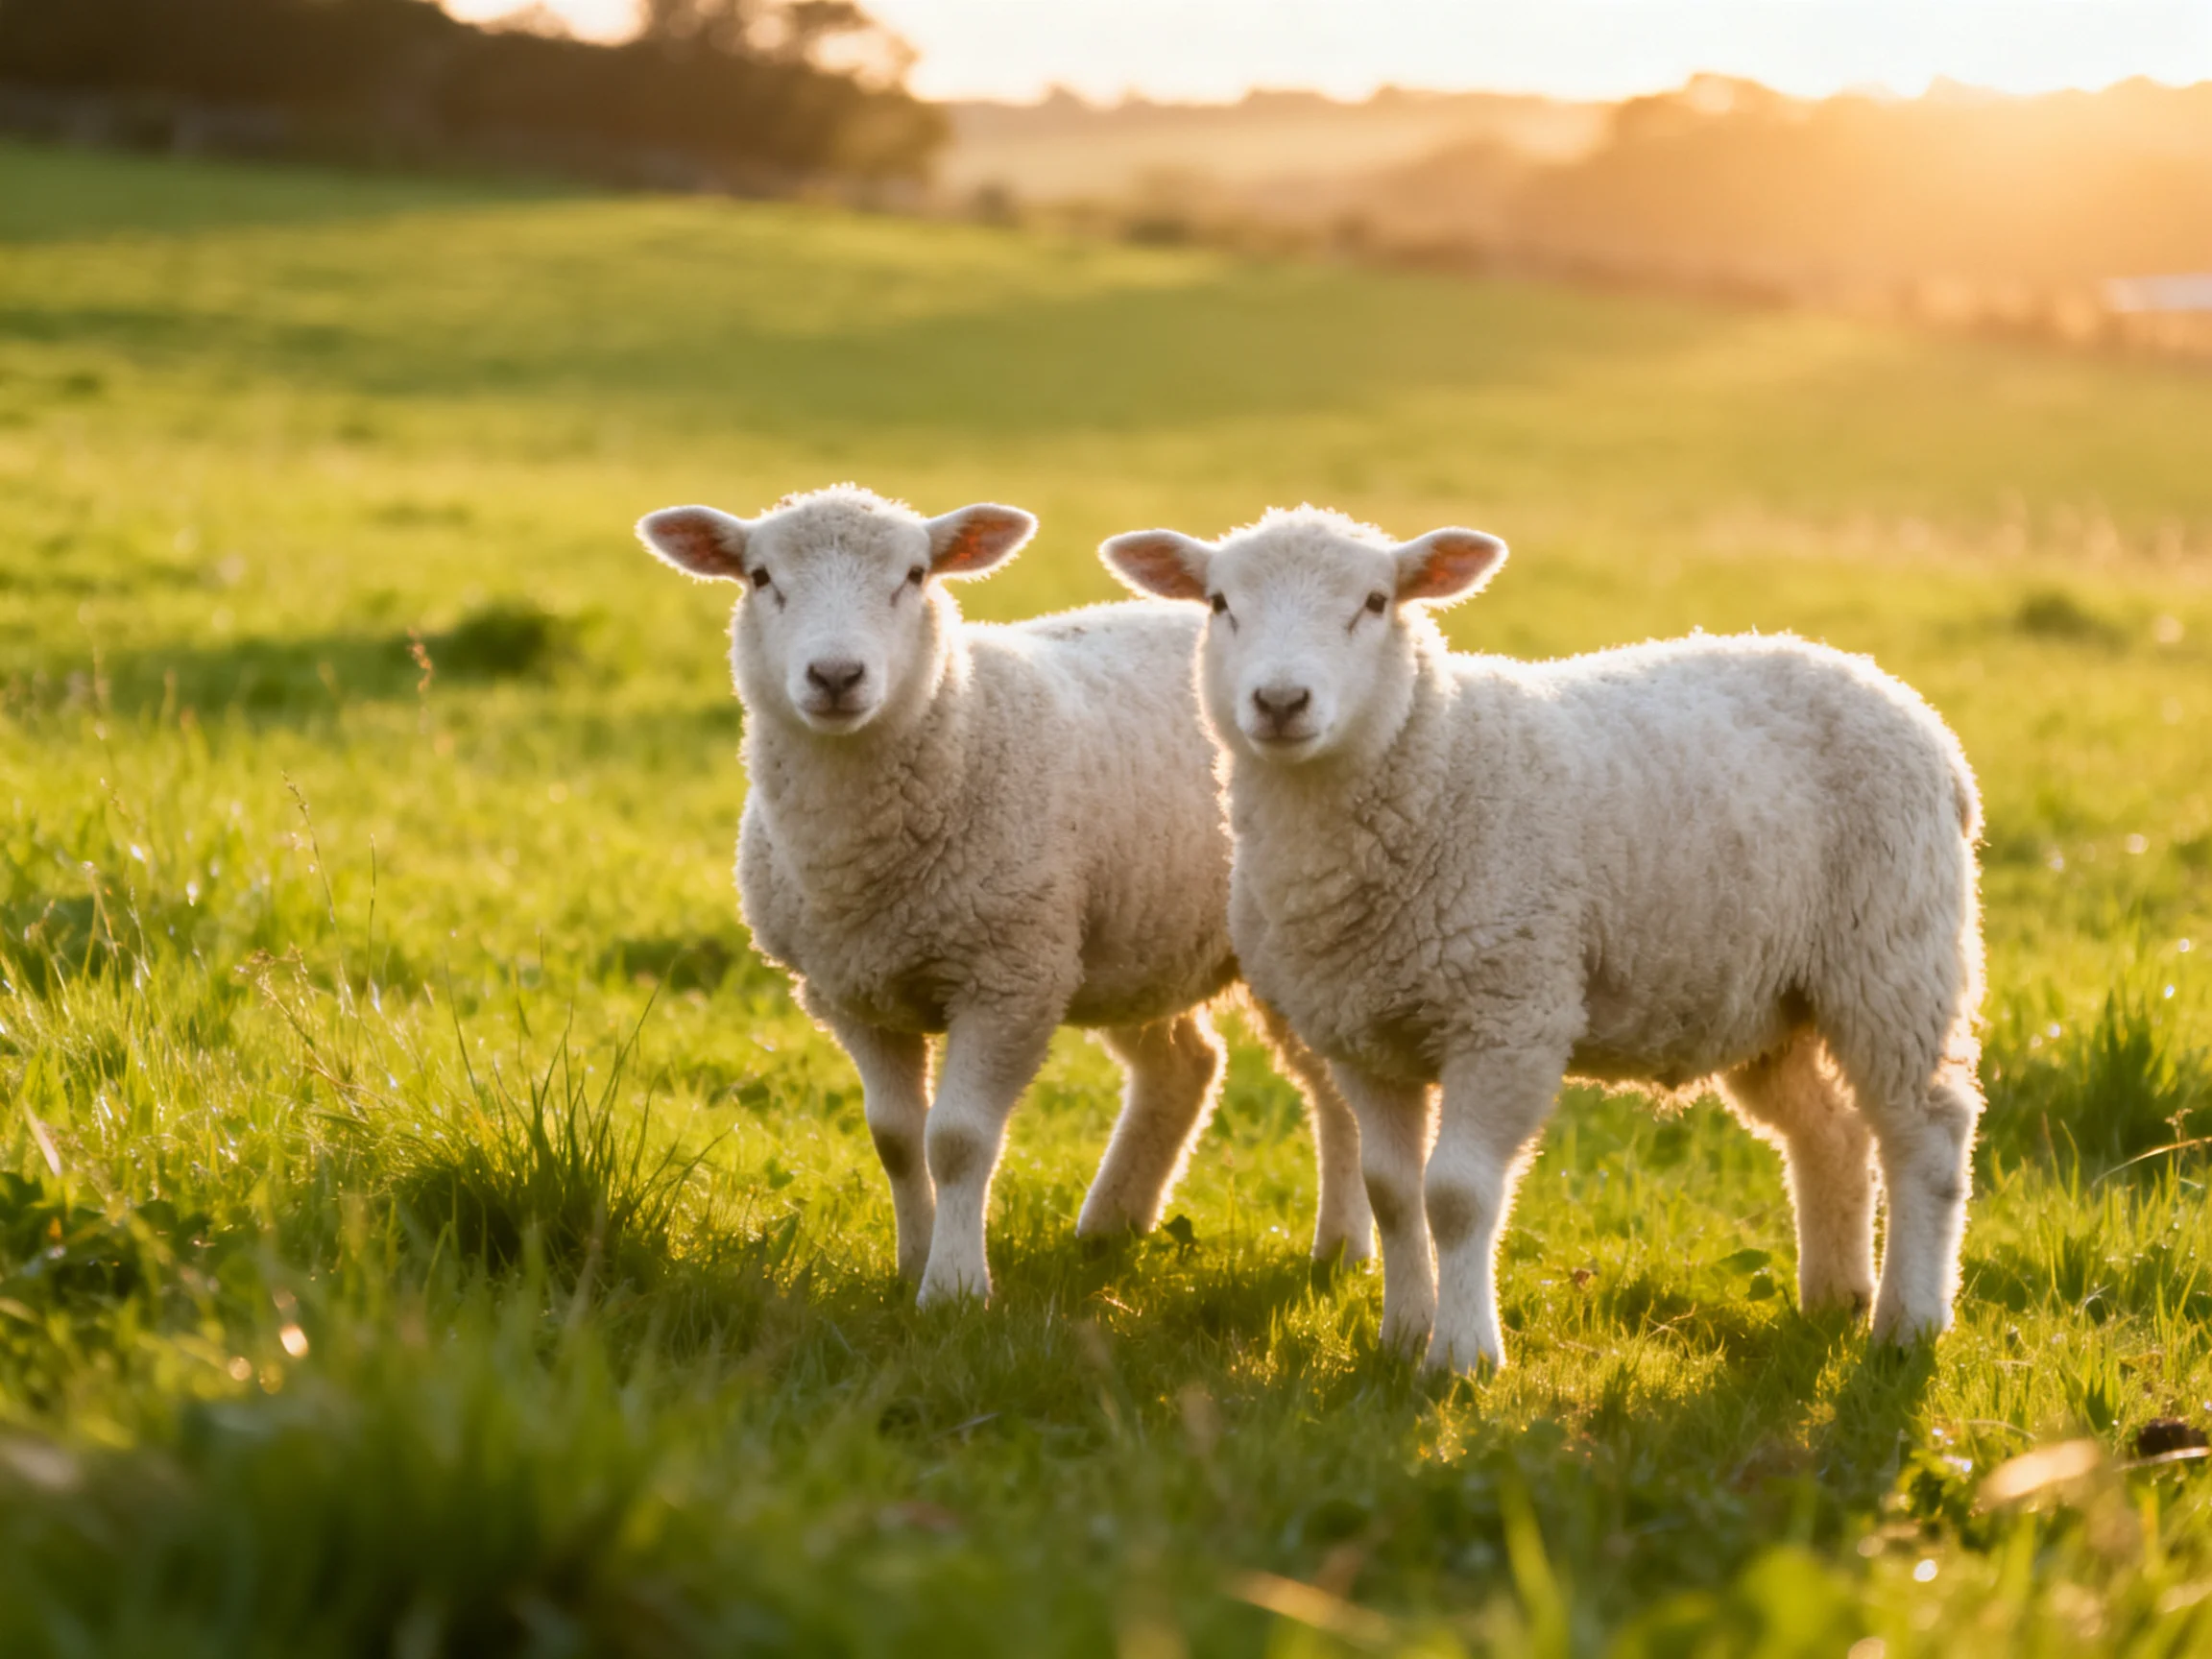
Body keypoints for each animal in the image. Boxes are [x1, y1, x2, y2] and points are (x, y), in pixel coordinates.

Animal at [635, 484, 1374, 1308]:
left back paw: (1341, 1249)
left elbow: (957, 1140)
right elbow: (897, 1140)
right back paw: (1111, 1228)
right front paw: (911, 1262)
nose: (835, 676)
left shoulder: (1010, 978)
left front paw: (954, 1290)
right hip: (1130, 936)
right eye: (761, 577)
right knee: (1186, 1066)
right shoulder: (851, 993)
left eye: (915, 575)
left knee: (1330, 1092)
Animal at [1104, 506, 1985, 1373]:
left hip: (1894, 955)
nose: (1282, 701)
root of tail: (1920, 718)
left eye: (1376, 602)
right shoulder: (1364, 1036)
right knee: (1829, 1131)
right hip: (1770, 997)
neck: (1435, 764)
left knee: (1927, 1136)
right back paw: (1835, 1299)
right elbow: (1392, 1192)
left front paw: (1462, 1358)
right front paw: (1401, 1337)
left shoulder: (1508, 1016)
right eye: (1220, 604)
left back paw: (1910, 1324)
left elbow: (1456, 1195)